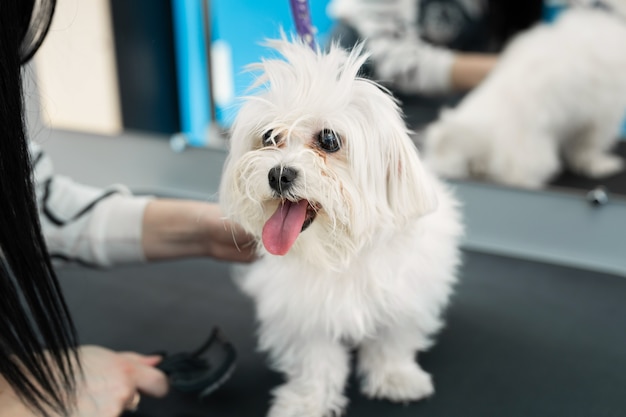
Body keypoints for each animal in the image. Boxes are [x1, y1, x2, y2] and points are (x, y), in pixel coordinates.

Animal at [217, 39, 460, 416]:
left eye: (329, 140)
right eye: (269, 137)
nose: (278, 174)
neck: (341, 252)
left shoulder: (405, 298)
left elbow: (393, 341)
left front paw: (396, 378)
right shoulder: (305, 312)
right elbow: (316, 361)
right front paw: (306, 401)